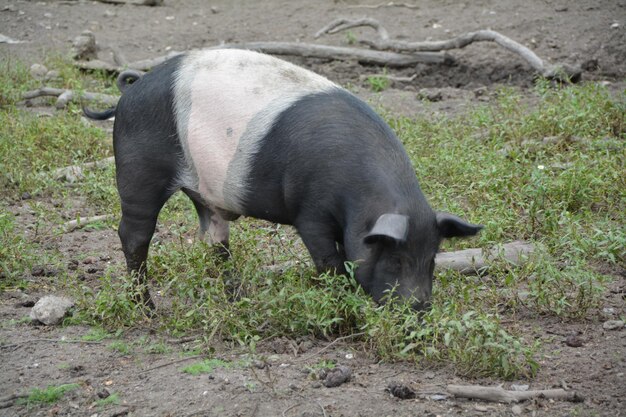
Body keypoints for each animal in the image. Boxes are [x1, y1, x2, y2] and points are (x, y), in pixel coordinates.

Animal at [84, 48, 482, 308]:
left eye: (432, 259)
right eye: (396, 260)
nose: (419, 307)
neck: (360, 203)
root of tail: (129, 91)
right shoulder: (310, 212)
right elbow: (330, 261)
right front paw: (344, 308)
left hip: (204, 192)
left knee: (215, 239)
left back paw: (237, 300)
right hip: (137, 170)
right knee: (134, 234)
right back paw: (147, 308)